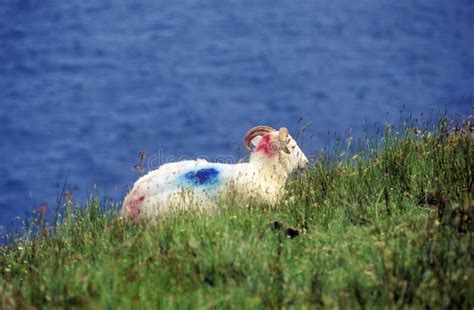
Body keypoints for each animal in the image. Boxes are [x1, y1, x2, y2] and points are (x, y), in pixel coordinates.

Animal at [120, 126, 310, 220]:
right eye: (293, 146)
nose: (306, 163)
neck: (263, 171)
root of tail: (129, 204)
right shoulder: (268, 204)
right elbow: (292, 199)